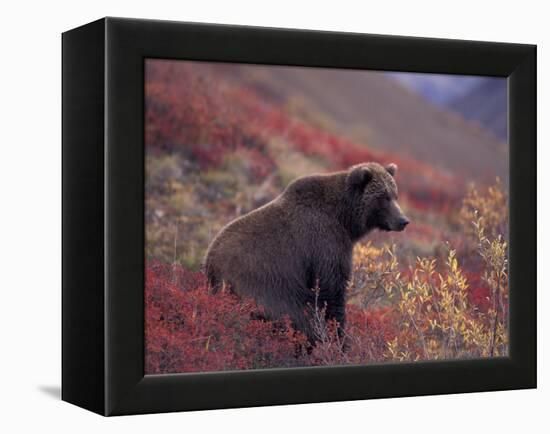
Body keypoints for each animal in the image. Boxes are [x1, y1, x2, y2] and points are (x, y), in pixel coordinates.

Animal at [206, 163, 410, 342]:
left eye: (395, 195)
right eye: (383, 197)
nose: (403, 220)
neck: (345, 219)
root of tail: (211, 263)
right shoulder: (324, 243)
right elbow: (331, 289)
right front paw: (339, 337)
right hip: (265, 285)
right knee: (295, 317)